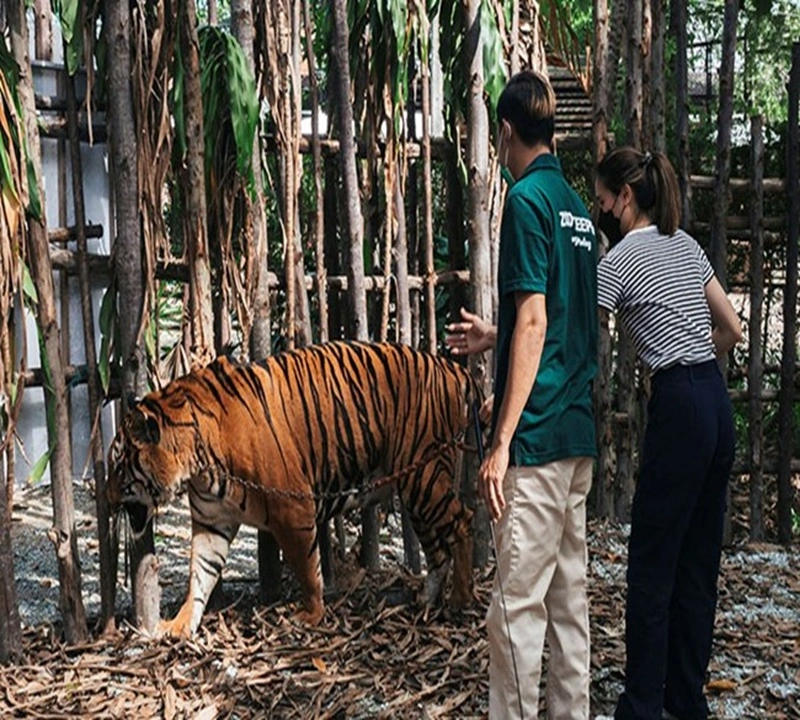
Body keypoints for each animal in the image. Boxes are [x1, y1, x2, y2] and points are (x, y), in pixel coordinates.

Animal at [107, 341, 482, 638]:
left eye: (118, 465)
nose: (107, 500)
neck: (197, 465)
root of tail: (453, 368)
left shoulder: (293, 511)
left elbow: (307, 568)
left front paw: (310, 615)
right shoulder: (213, 521)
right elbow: (200, 573)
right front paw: (180, 625)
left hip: (425, 479)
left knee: (463, 521)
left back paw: (460, 600)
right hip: (416, 492)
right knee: (438, 549)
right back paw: (428, 600)